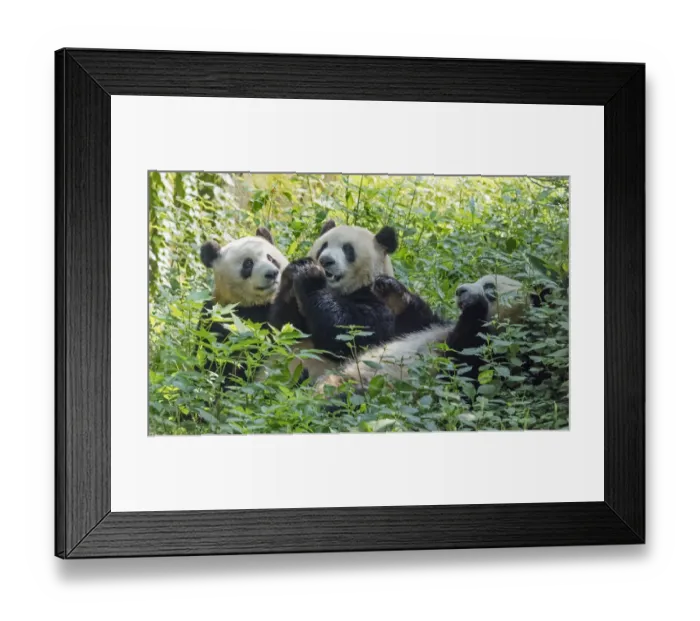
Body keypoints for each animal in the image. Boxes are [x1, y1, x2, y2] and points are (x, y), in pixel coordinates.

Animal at [269, 220, 398, 378]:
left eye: (348, 249)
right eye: (323, 246)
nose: (325, 260)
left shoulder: (381, 304)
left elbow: (347, 333)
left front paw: (310, 274)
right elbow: (284, 329)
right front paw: (295, 270)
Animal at [316, 274, 538, 392]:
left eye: (490, 286)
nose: (460, 290)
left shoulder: (499, 360)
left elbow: (460, 373)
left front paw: (474, 304)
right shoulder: (436, 325)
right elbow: (414, 322)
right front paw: (390, 288)